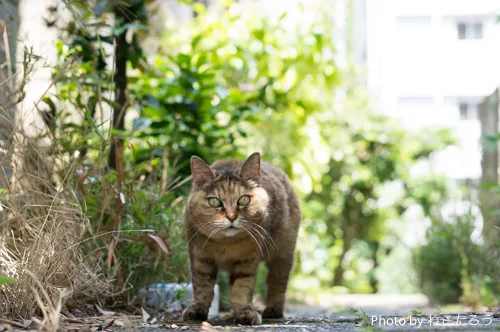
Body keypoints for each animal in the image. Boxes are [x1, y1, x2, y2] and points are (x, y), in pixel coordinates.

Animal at [183, 152, 300, 324]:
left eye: (244, 199)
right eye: (214, 201)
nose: (231, 217)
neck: (225, 243)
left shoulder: (247, 260)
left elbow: (241, 287)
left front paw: (243, 312)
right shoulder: (200, 259)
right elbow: (202, 286)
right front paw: (198, 309)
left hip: (282, 255)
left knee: (277, 284)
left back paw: (273, 310)